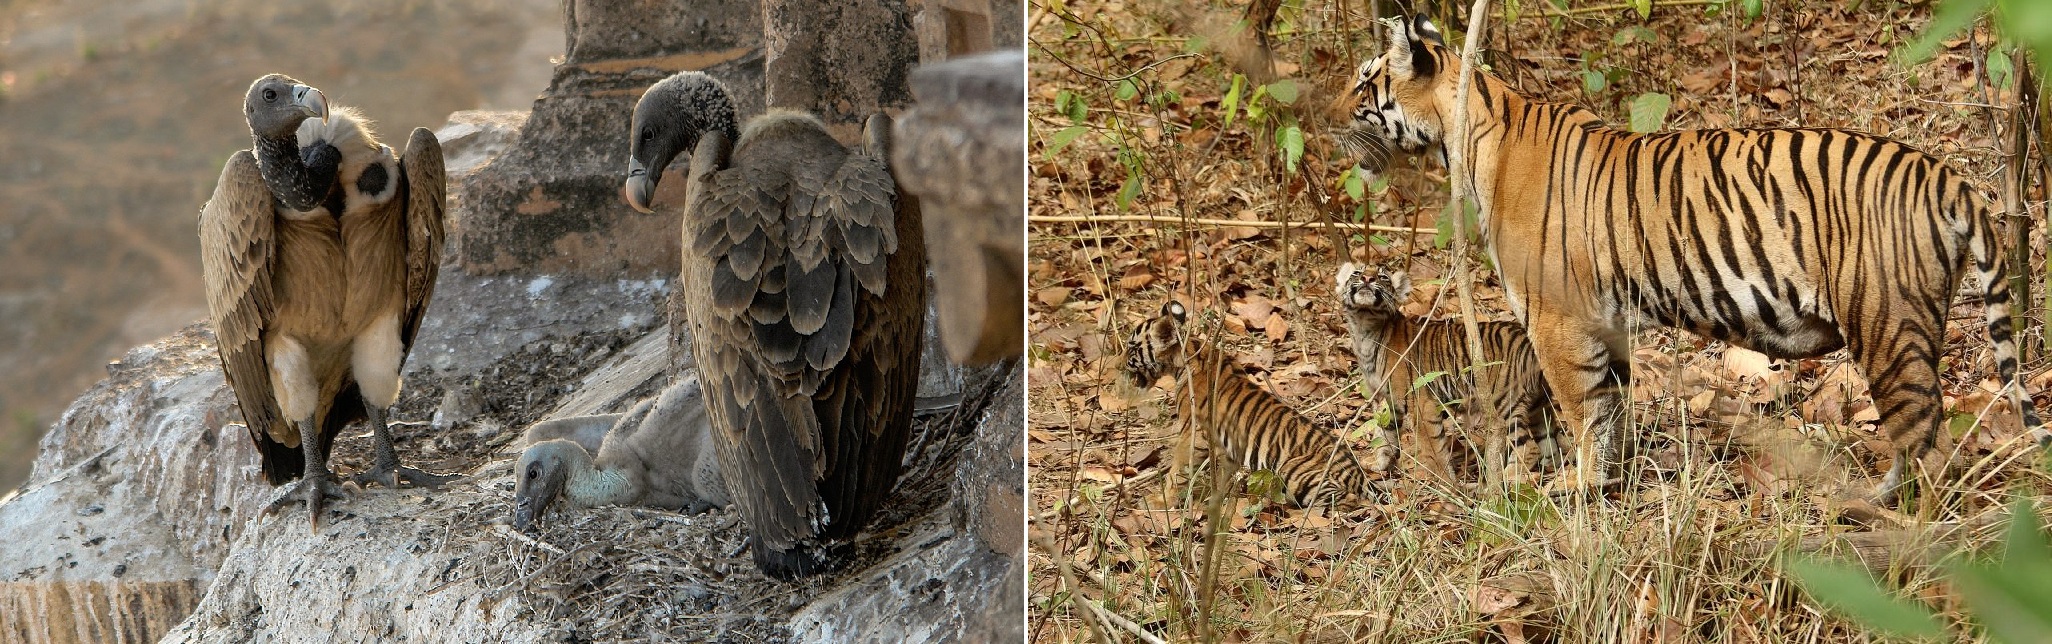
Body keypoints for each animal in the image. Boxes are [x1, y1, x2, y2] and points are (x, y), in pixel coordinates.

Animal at [1124, 301, 1378, 508]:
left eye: (1130, 346)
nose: (1119, 363)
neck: (1190, 352)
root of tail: (1359, 476)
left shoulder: (1193, 434)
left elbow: (1176, 470)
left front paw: (1160, 500)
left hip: (1293, 471)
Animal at [1337, 264, 1543, 486]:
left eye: (1383, 277)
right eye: (1357, 273)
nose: (1367, 278)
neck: (1364, 327)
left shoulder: (1422, 405)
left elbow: (1435, 450)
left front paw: (1446, 483)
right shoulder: (1386, 399)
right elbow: (1384, 433)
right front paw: (1379, 464)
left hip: (1504, 402)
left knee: (1530, 447)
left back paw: (1506, 479)